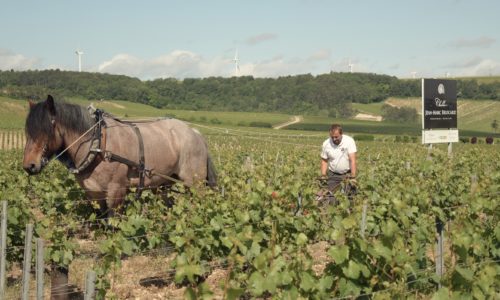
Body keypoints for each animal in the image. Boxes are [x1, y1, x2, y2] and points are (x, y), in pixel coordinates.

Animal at [23, 96, 217, 216]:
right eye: (28, 132)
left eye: (46, 130)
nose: (28, 165)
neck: (98, 146)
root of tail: (195, 133)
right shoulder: (94, 193)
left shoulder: (116, 190)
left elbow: (113, 222)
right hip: (164, 182)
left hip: (194, 183)